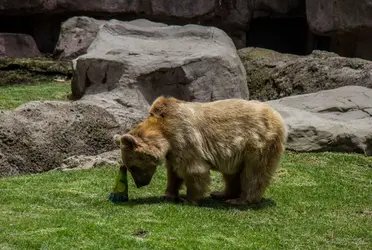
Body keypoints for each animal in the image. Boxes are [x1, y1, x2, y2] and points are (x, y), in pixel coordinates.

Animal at [113, 96, 288, 205]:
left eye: (132, 167)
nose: (140, 184)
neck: (163, 132)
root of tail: (276, 115)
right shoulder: (173, 150)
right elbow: (173, 172)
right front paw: (168, 194)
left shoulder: (183, 137)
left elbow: (192, 169)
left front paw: (188, 199)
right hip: (238, 152)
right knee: (232, 174)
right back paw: (221, 193)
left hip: (257, 144)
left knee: (254, 173)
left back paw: (241, 200)